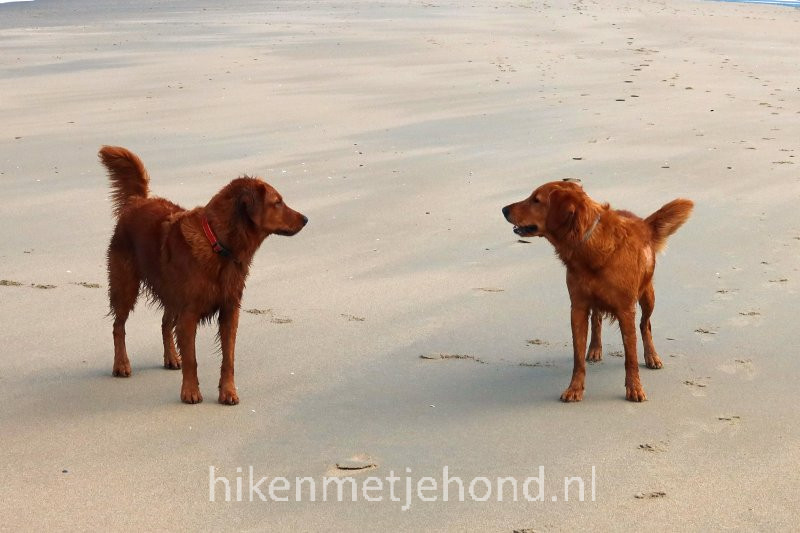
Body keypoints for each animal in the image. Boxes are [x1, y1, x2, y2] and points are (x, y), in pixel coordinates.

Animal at [100, 145, 306, 404]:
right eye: (278, 202)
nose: (306, 219)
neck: (218, 244)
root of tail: (137, 201)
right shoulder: (189, 312)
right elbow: (192, 359)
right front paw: (190, 391)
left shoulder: (229, 309)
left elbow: (228, 359)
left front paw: (228, 391)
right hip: (125, 284)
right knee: (119, 326)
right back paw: (121, 364)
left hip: (171, 292)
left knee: (165, 323)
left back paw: (171, 357)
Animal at [504, 181, 692, 402]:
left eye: (536, 200)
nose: (504, 209)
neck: (588, 246)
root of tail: (643, 223)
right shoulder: (577, 307)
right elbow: (578, 357)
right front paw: (575, 388)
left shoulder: (626, 310)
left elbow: (631, 357)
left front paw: (634, 388)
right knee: (597, 318)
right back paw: (594, 348)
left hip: (648, 296)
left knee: (645, 324)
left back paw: (651, 356)